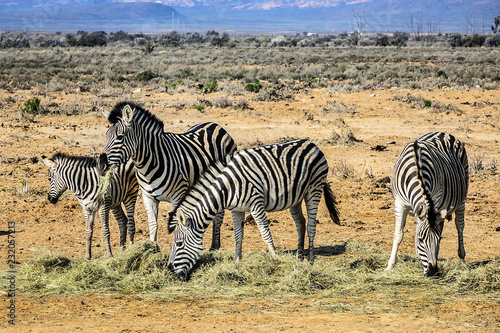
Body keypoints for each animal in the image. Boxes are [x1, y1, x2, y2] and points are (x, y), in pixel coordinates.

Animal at [102, 101, 237, 249]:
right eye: (106, 135)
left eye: (120, 137)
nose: (102, 163)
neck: (148, 166)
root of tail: (215, 125)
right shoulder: (148, 197)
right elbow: (153, 225)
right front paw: (153, 249)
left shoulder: (178, 196)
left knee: (219, 216)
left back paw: (214, 246)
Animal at [167, 138, 340, 280]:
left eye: (179, 243)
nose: (170, 270)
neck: (228, 188)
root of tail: (311, 143)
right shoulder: (236, 209)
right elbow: (238, 235)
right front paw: (236, 262)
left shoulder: (256, 204)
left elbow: (265, 233)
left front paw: (275, 259)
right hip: (296, 197)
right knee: (301, 222)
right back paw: (299, 255)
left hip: (314, 188)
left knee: (311, 225)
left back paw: (310, 260)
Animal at [386, 131, 468, 276]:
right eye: (420, 240)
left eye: (439, 239)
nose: (432, 271)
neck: (417, 171)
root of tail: (444, 132)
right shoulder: (399, 202)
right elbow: (398, 234)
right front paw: (390, 266)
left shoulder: (435, 199)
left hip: (462, 197)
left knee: (459, 226)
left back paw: (462, 258)